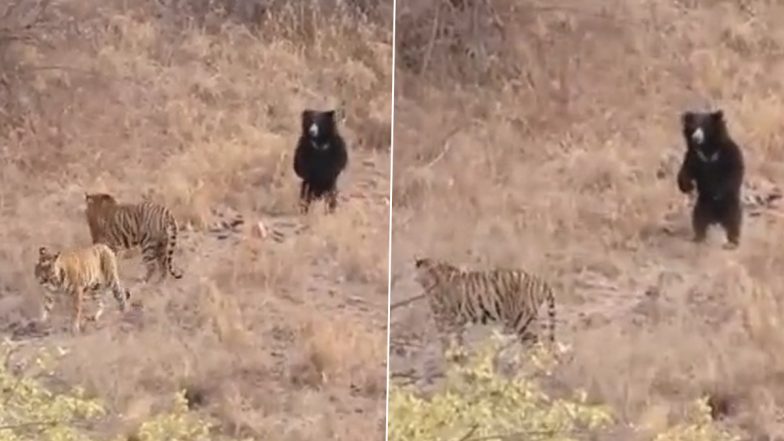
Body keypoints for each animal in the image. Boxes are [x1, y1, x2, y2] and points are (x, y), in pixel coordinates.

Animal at [414, 256, 556, 352]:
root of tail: (539, 280)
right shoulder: (455, 322)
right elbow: (456, 341)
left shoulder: (446, 320)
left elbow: (448, 342)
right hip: (538, 319)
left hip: (522, 320)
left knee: (534, 344)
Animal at [676, 108, 744, 249]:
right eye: (693, 127)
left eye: (705, 127)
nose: (696, 138)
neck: (708, 149)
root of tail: (716, 220)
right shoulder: (694, 156)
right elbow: (686, 171)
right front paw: (687, 186)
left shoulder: (728, 154)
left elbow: (733, 173)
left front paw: (717, 193)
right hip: (701, 207)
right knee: (698, 220)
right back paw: (698, 238)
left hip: (731, 206)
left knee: (734, 222)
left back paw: (732, 242)